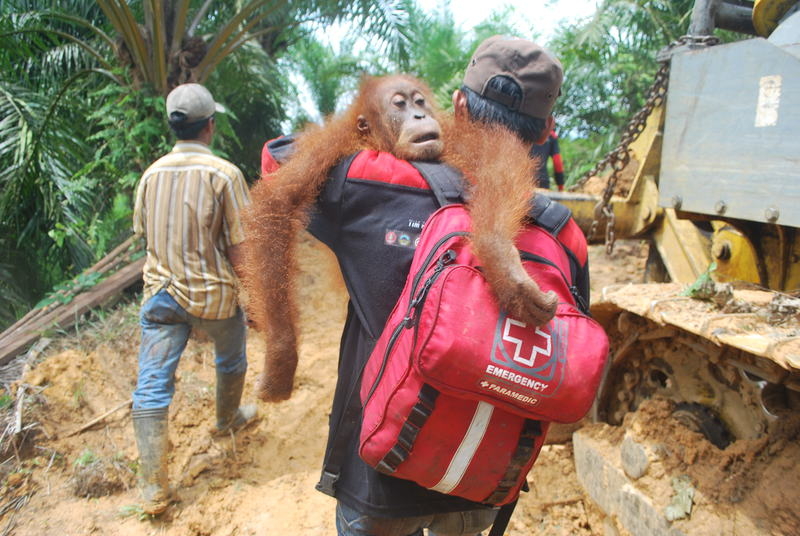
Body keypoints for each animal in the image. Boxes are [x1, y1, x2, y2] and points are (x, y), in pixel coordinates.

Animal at [241, 74, 558, 402]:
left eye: (419, 102)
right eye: (399, 105)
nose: (419, 115)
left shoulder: (449, 135)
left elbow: (495, 158)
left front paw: (503, 266)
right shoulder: (331, 143)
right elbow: (279, 203)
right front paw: (280, 364)